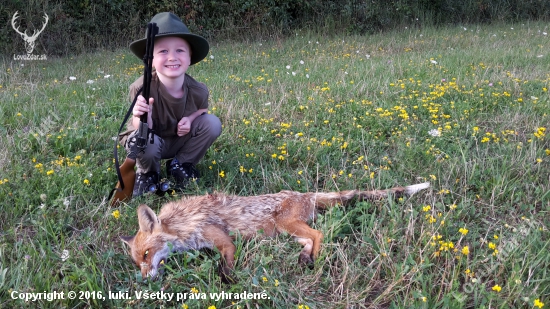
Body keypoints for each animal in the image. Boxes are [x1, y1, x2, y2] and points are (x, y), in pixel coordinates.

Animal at [121, 183, 432, 282]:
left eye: (147, 253)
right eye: (137, 262)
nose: (145, 280)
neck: (184, 222)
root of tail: (304, 194)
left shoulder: (224, 240)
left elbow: (226, 264)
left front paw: (228, 281)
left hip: (286, 225)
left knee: (319, 235)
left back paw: (313, 261)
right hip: (287, 232)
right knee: (309, 238)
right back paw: (305, 258)